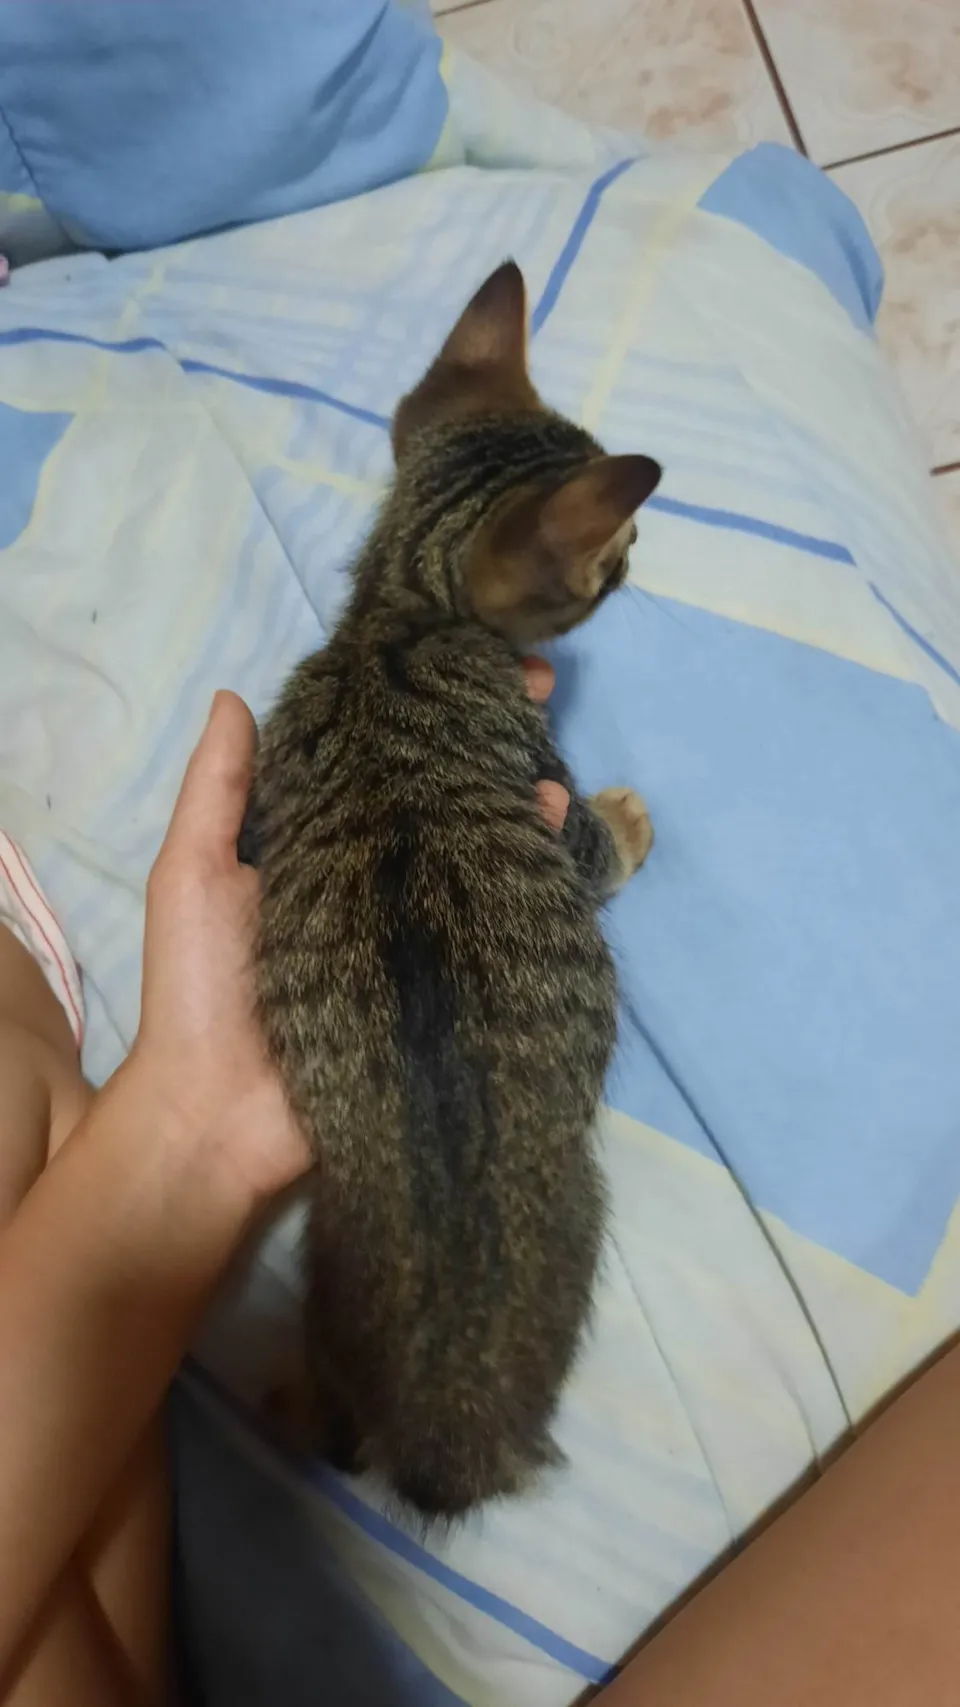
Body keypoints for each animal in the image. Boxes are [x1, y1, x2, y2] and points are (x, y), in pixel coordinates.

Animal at [248, 261, 662, 1518]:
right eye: (618, 554)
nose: (640, 564)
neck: (398, 613)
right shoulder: (545, 780)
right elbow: (594, 843)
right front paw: (632, 820)